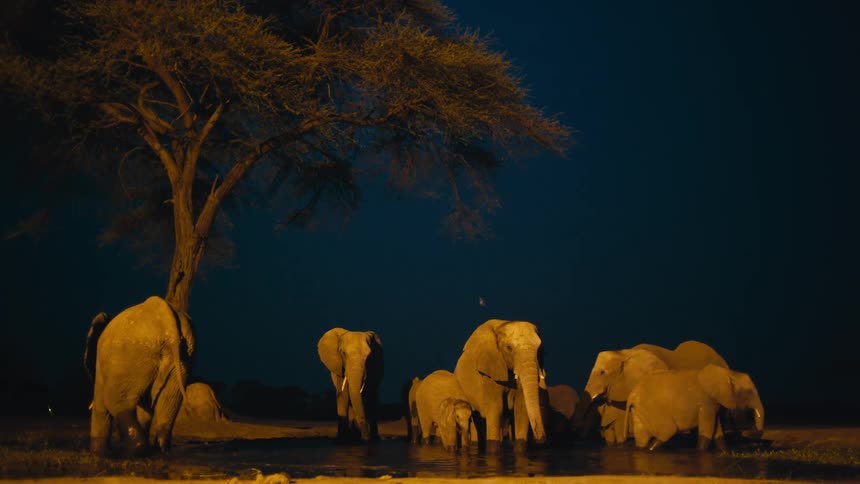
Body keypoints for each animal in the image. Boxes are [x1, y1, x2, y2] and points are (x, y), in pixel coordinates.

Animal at [85, 296, 194, 456]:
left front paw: (98, 454)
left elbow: (100, 405)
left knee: (114, 400)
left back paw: (133, 452)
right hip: (183, 356)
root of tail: (166, 318)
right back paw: (161, 451)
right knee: (170, 400)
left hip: (132, 354)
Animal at [454, 319, 547, 453]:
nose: (541, 439)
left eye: (539, 349)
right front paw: (493, 452)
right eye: (509, 348)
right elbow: (496, 408)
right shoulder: (490, 371)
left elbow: (520, 409)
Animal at [624, 364, 765, 451]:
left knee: (643, 437)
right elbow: (707, 431)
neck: (728, 373)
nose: (746, 432)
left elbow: (718, 432)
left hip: (640, 409)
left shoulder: (714, 403)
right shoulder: (706, 401)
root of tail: (632, 394)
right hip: (654, 409)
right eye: (748, 392)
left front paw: (725, 452)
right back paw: (651, 448)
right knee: (668, 431)